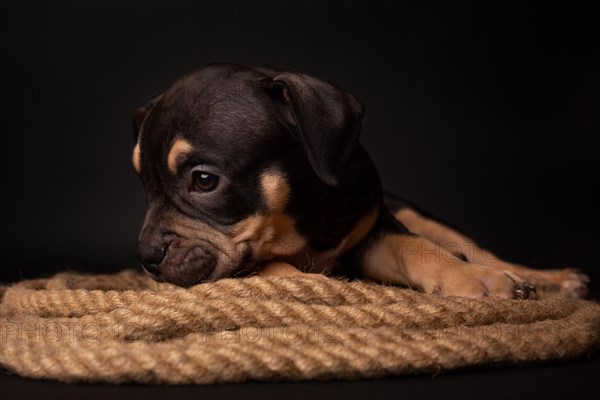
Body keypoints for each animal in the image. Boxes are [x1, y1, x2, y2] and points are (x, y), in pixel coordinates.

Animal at [132, 64, 592, 298]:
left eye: (204, 181)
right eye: (144, 184)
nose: (146, 256)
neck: (305, 219)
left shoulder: (374, 232)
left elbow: (417, 248)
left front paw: (474, 279)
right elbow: (272, 266)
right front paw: (318, 281)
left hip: (419, 215)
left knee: (476, 249)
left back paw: (549, 279)